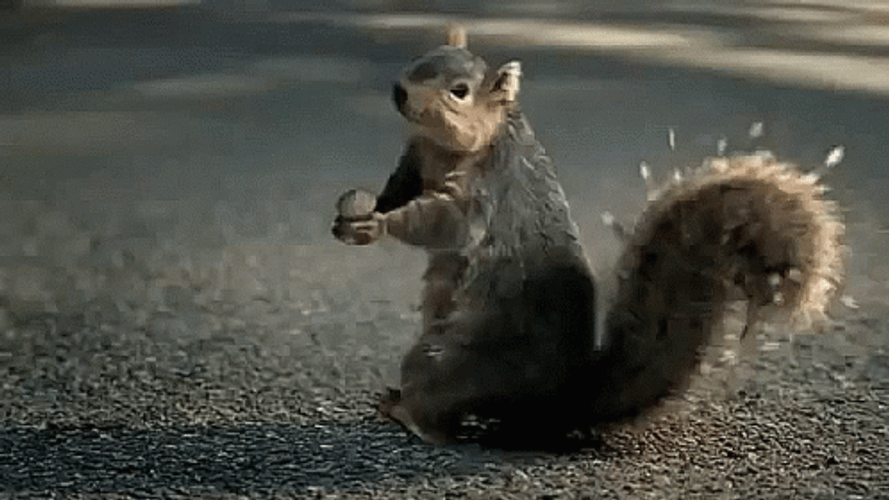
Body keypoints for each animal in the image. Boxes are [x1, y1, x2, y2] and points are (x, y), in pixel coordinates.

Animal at [331, 25, 845, 446]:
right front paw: (355, 217)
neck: (445, 147)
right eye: (422, 57)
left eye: (459, 92)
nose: (399, 92)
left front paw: (379, 224)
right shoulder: (415, 158)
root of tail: (558, 402)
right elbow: (397, 189)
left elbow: (443, 223)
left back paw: (406, 413)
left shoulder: (482, 192)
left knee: (444, 422)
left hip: (447, 361)